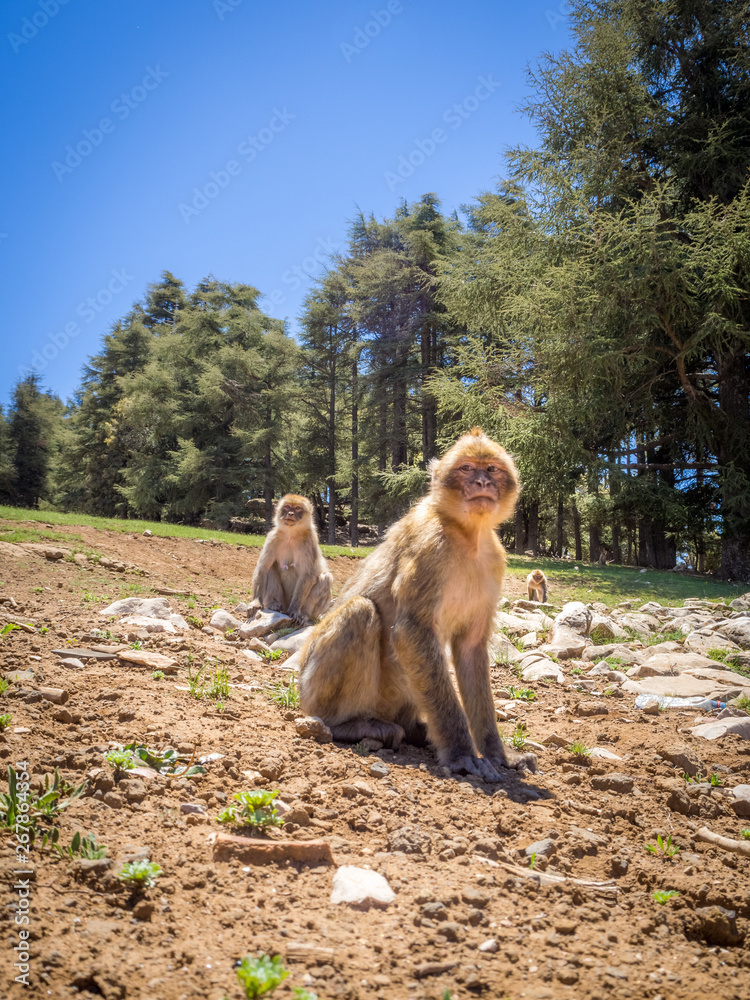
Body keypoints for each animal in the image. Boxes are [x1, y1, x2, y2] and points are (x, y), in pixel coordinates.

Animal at [249, 494, 333, 626]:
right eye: (288, 506)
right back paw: (274, 604)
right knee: (271, 567)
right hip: (283, 601)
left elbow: (307, 575)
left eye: (298, 508)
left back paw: (304, 614)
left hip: (316, 610)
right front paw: (256, 602)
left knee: (326, 578)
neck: (291, 534)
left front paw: (295, 610)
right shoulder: (272, 538)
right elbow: (263, 568)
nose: (291, 513)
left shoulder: (310, 542)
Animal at [298, 428, 536, 781]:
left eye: (491, 469)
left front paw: (498, 753)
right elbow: (412, 632)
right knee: (360, 612)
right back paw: (347, 725)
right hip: (311, 689)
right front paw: (463, 754)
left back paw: (414, 730)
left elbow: (470, 649)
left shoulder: (494, 561)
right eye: (467, 468)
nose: (482, 482)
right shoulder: (429, 547)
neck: (467, 533)